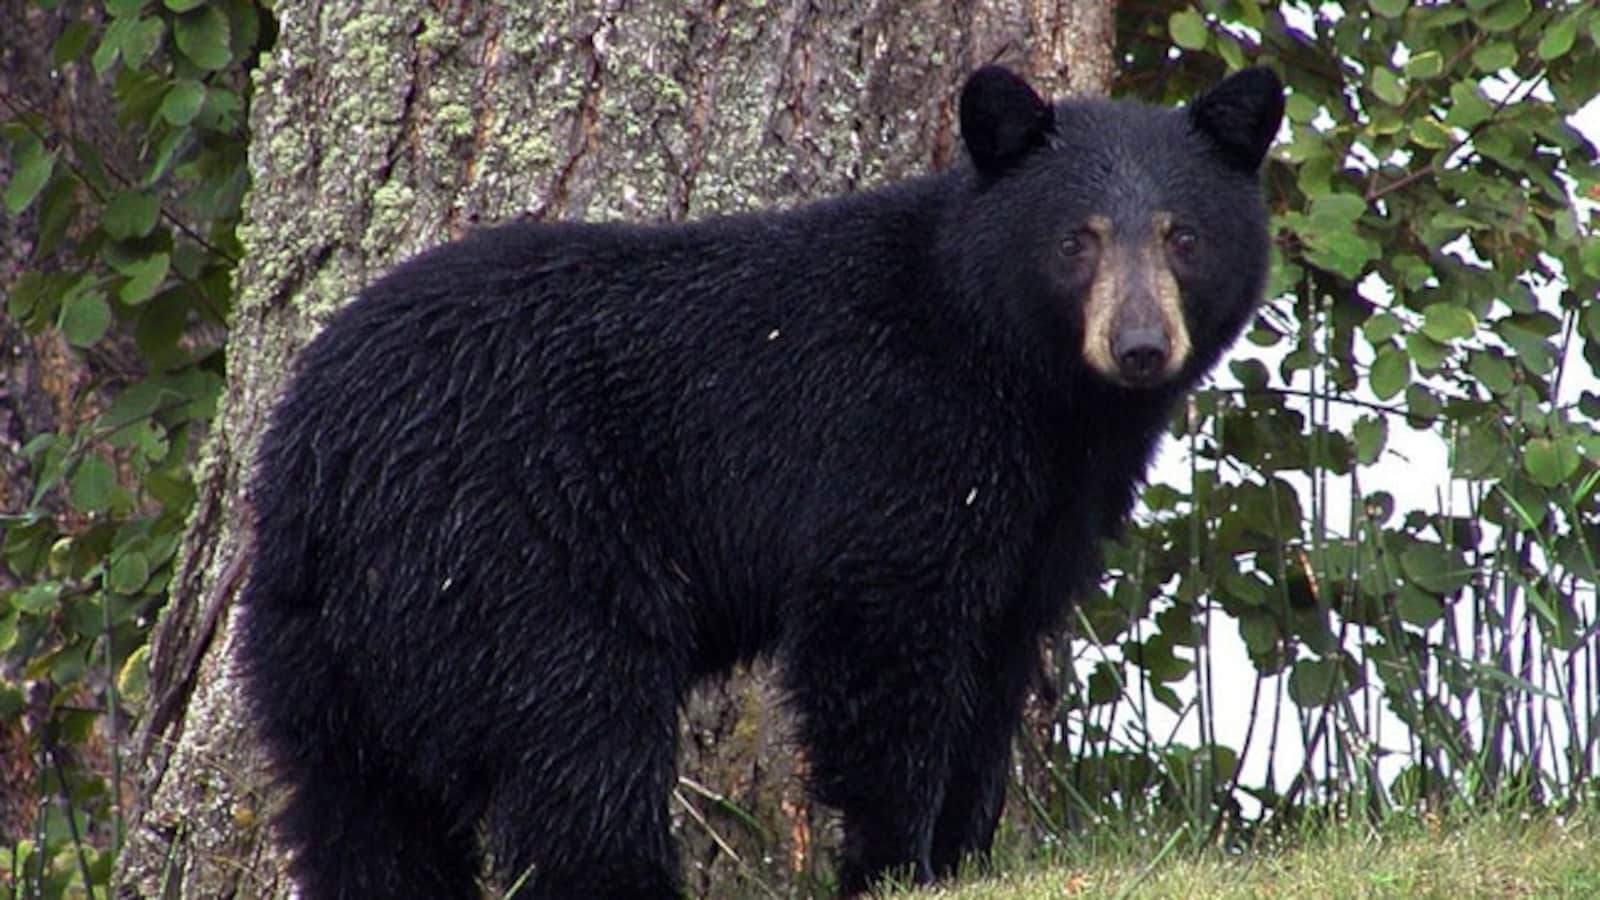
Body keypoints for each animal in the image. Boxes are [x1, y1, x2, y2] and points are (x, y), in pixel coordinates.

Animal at [237, 64, 1283, 899]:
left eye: (1183, 236)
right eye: (1078, 239)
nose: (1140, 347)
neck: (1025, 380)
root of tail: (318, 457)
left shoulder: (1044, 510)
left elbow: (996, 661)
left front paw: (964, 856)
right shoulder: (897, 440)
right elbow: (882, 638)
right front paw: (893, 864)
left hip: (320, 642)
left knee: (358, 807)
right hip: (516, 552)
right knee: (578, 741)